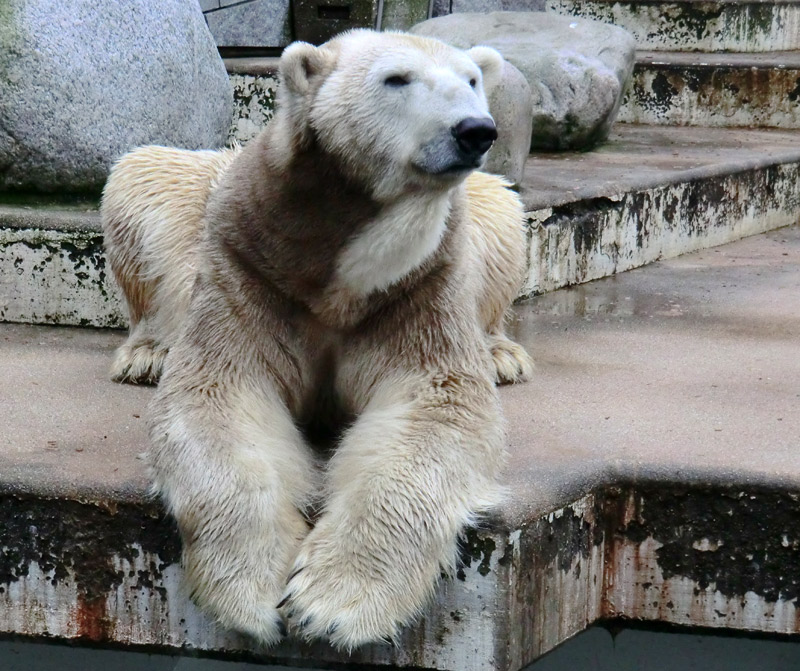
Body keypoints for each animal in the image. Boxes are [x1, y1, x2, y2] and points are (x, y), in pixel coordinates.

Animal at [103, 30, 536, 652]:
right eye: (397, 78)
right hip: (186, 195)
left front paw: (332, 605)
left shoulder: (421, 286)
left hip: (485, 210)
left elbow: (437, 404)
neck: (334, 263)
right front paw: (255, 591)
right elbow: (221, 395)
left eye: (472, 80)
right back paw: (148, 353)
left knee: (505, 214)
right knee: (140, 175)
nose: (475, 130)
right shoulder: (249, 270)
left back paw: (502, 354)